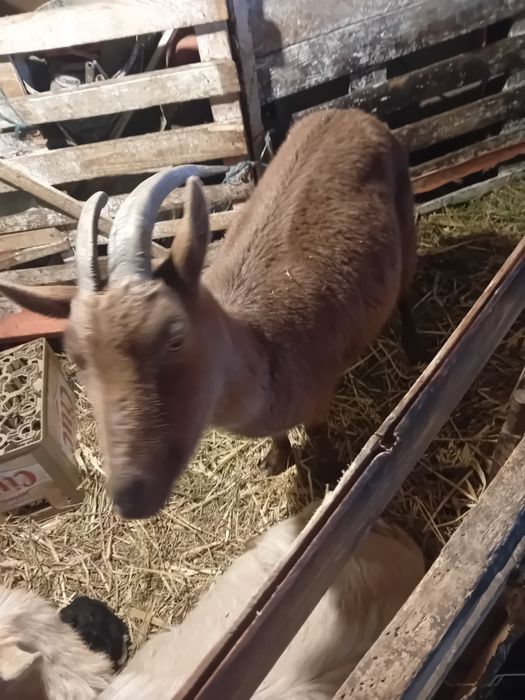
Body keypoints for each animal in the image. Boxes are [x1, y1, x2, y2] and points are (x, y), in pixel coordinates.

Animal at [0, 108, 424, 519]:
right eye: (76, 356)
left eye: (175, 338)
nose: (130, 497)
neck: (267, 344)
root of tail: (349, 112)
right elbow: (278, 437)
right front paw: (276, 459)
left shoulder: (319, 391)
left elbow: (319, 433)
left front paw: (329, 472)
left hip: (405, 218)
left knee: (405, 290)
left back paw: (413, 348)